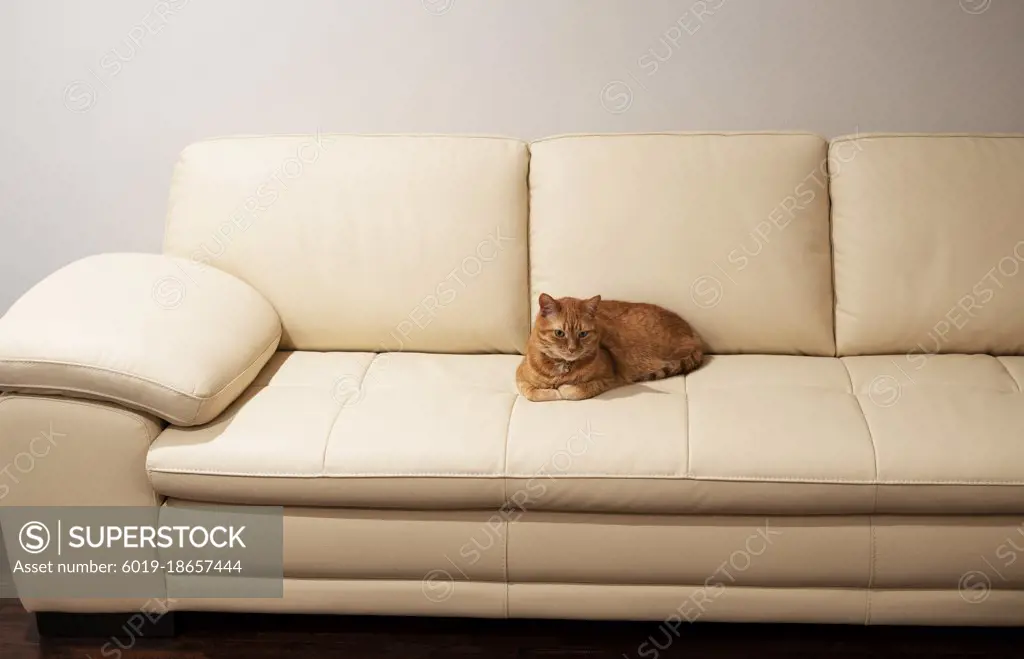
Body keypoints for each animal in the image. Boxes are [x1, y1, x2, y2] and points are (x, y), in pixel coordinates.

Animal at [520, 294, 704, 401]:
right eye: (559, 333)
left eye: (583, 334)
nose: (572, 349)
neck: (563, 368)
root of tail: (694, 334)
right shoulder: (520, 378)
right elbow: (531, 393)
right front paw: (550, 391)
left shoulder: (609, 379)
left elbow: (574, 391)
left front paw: (562, 389)